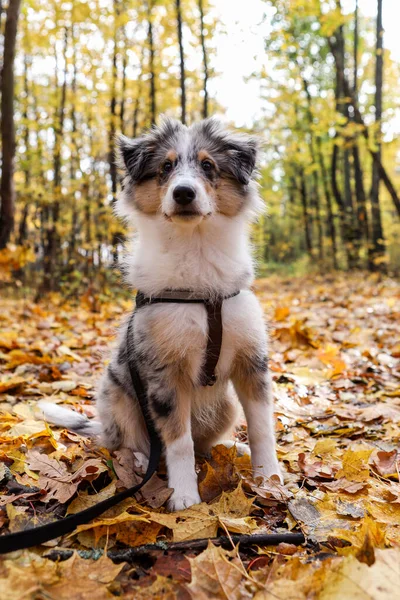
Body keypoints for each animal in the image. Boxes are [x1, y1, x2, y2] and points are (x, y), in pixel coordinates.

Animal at [41, 118, 282, 510]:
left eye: (208, 166)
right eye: (165, 168)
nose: (183, 193)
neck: (195, 252)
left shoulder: (252, 363)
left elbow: (262, 428)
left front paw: (270, 481)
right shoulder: (164, 373)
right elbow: (178, 442)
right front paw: (184, 496)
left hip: (226, 405)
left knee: (206, 444)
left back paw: (233, 448)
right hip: (118, 394)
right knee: (128, 442)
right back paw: (139, 461)